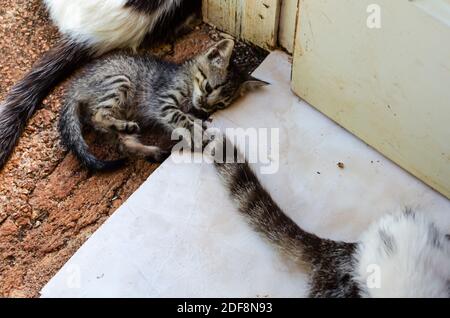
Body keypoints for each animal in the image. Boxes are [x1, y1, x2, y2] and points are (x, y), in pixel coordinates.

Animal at [57, 40, 266, 171]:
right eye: (208, 87)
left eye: (220, 104)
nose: (205, 106)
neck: (187, 79)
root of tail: (76, 85)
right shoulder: (162, 102)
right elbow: (180, 117)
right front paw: (198, 131)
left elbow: (188, 118)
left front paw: (200, 122)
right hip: (120, 80)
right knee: (98, 115)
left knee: (123, 144)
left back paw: (148, 147)